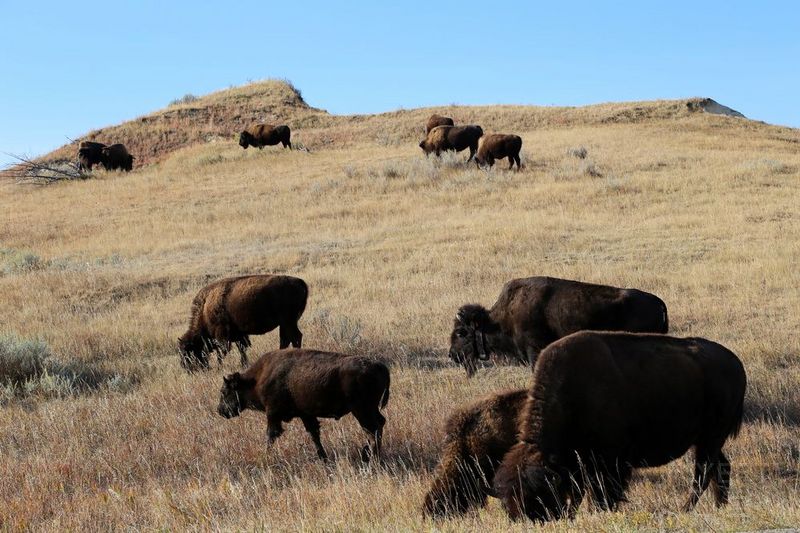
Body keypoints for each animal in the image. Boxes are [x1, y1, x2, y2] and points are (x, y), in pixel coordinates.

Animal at [180, 274, 308, 370]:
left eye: (188, 352)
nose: (187, 369)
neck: (205, 309)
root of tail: (300, 282)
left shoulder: (222, 336)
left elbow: (222, 353)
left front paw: (220, 367)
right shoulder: (239, 335)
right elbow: (242, 349)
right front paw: (244, 364)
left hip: (288, 322)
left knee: (295, 337)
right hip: (286, 323)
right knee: (286, 339)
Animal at [217, 350, 392, 462]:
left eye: (225, 391)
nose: (220, 410)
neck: (256, 379)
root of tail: (380, 366)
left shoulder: (273, 414)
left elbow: (270, 435)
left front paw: (265, 456)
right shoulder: (306, 415)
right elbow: (314, 435)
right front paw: (323, 457)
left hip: (361, 410)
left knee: (372, 429)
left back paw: (371, 457)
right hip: (369, 410)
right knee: (379, 424)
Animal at [490, 330, 748, 520]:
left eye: (538, 495)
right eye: (507, 501)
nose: (524, 519)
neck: (572, 396)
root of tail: (736, 363)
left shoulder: (610, 462)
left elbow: (602, 493)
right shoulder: (581, 462)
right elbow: (581, 492)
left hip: (709, 440)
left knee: (703, 474)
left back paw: (686, 508)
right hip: (706, 441)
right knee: (720, 468)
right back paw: (719, 505)